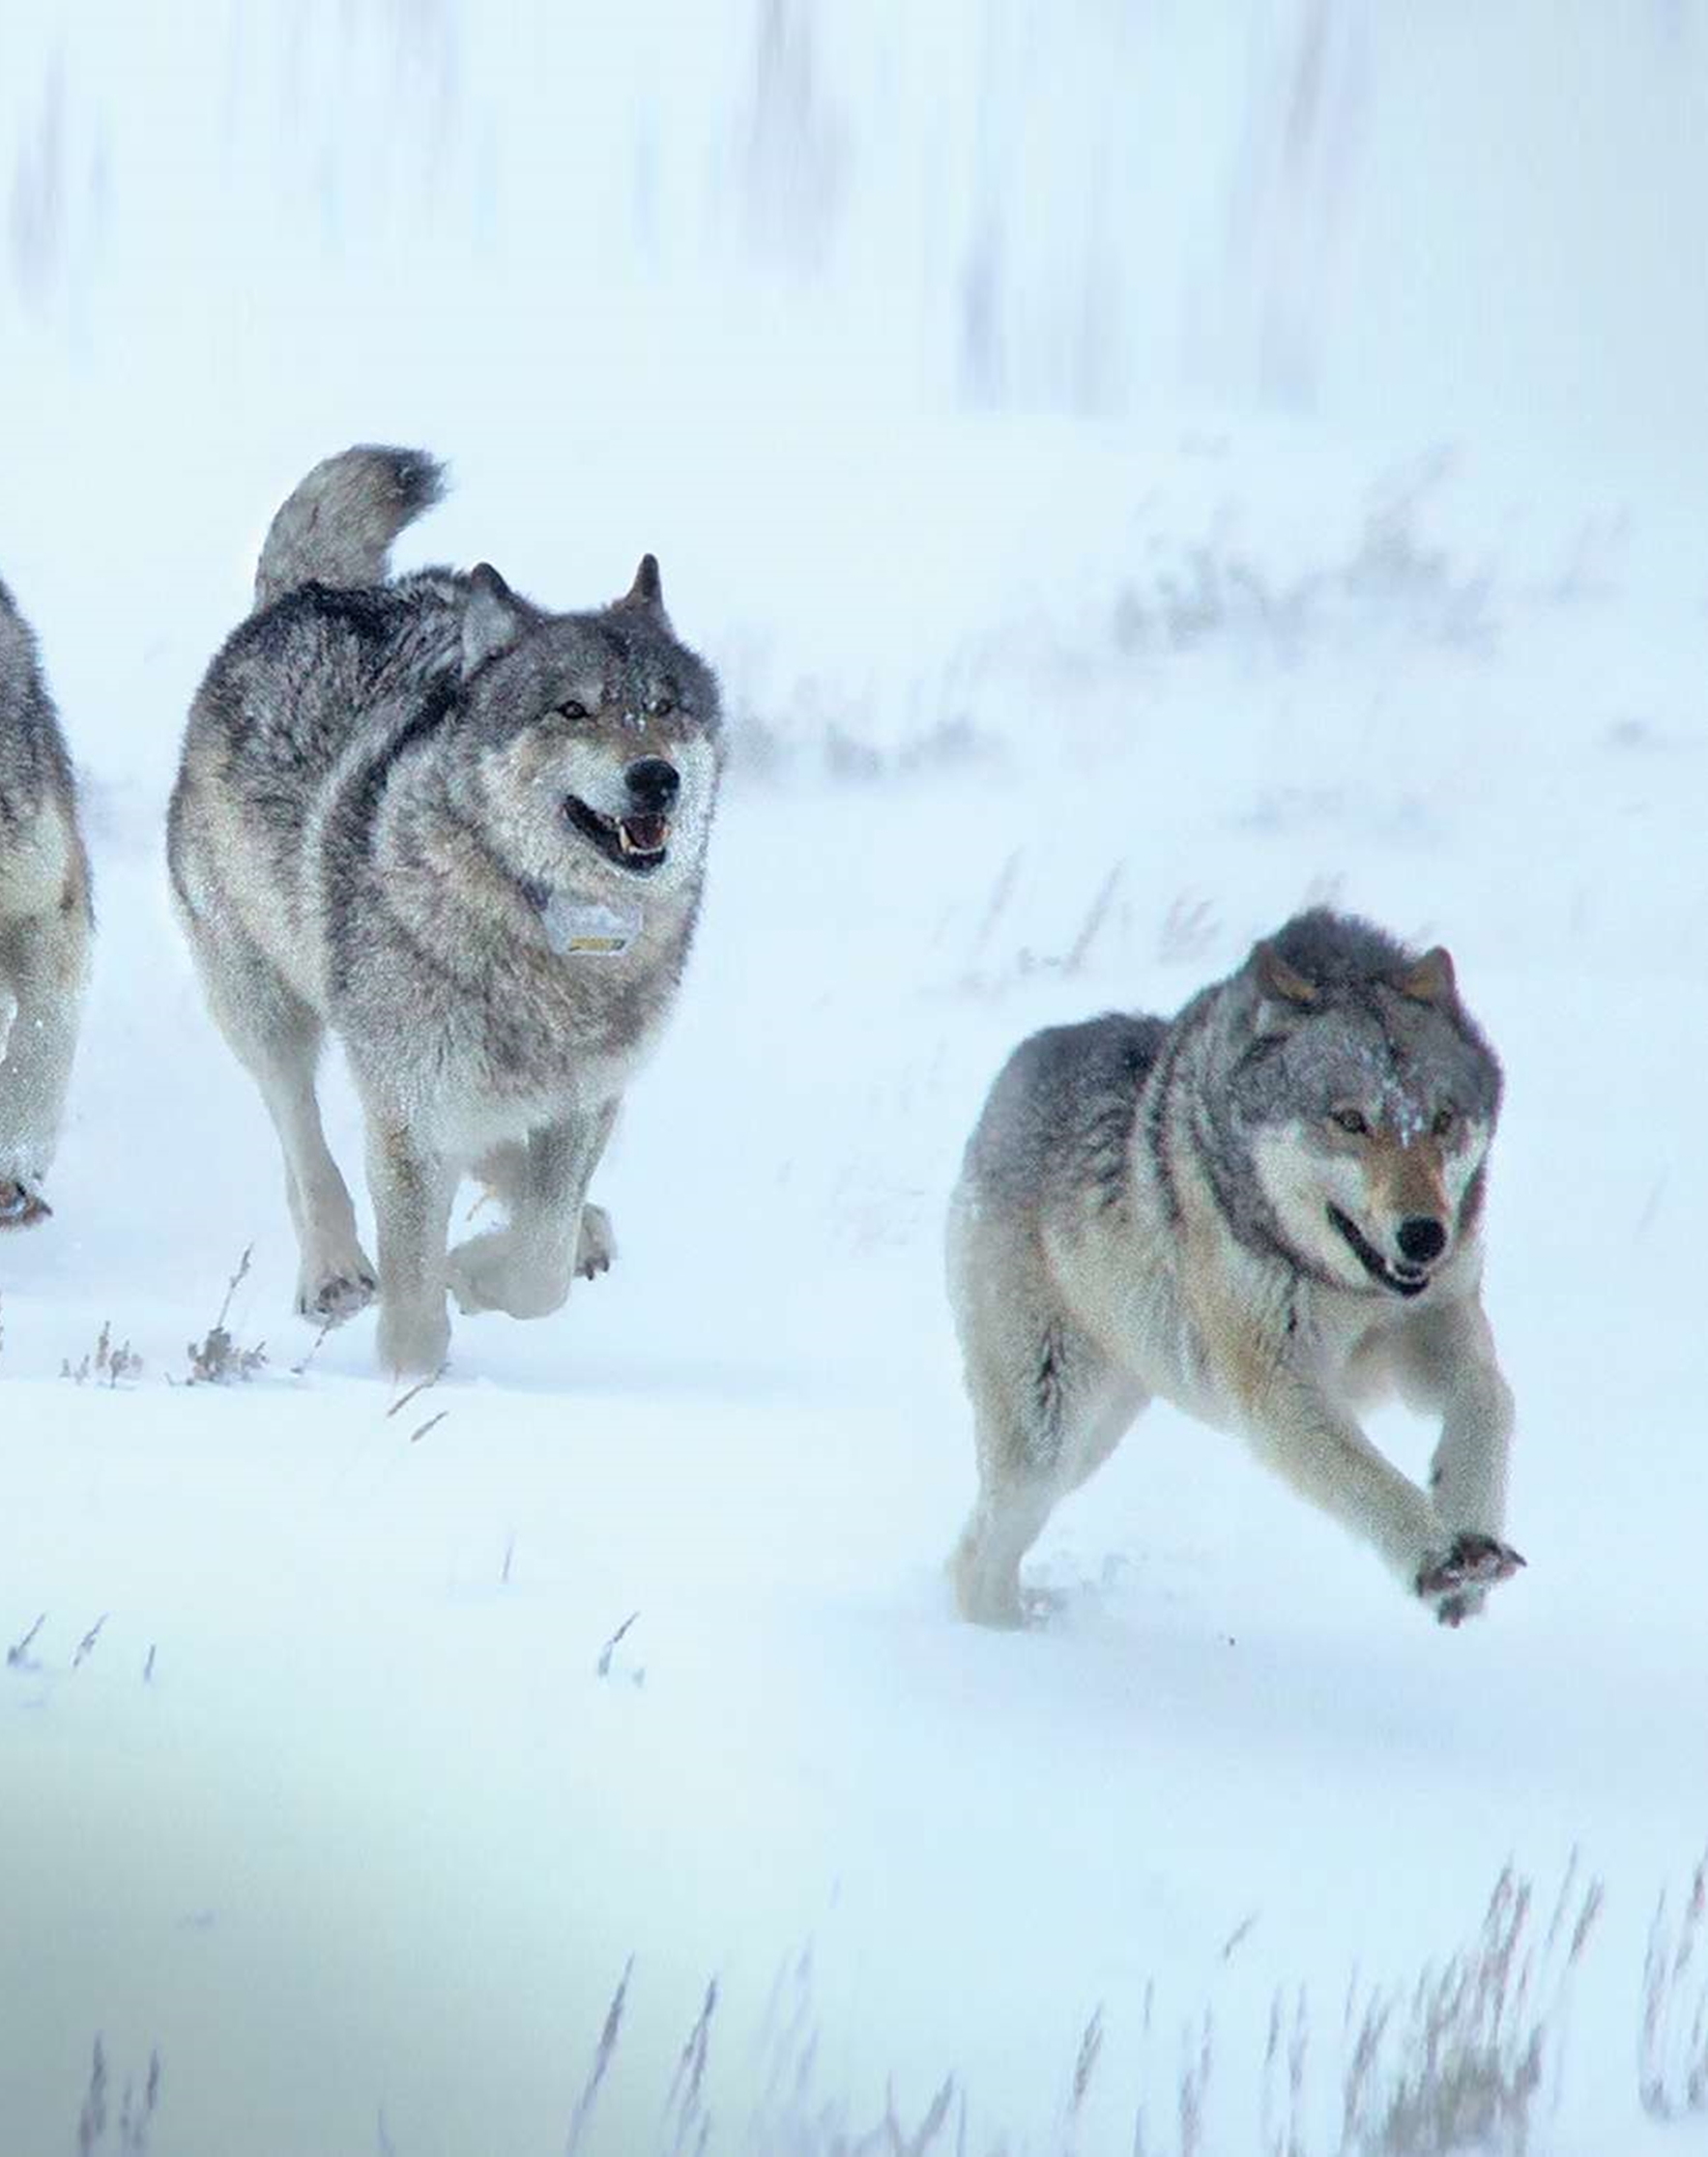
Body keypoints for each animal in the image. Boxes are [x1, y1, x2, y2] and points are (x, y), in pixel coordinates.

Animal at [171, 446, 729, 1371]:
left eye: (663, 707)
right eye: (571, 710)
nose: (657, 777)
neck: (548, 937)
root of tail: (306, 593)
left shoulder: (586, 1099)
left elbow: (538, 1264)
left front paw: (481, 1269)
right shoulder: (408, 1113)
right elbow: (416, 1316)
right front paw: (415, 1366)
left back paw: (580, 1229)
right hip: (267, 1012)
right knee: (302, 1141)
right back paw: (333, 1271)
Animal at [948, 910, 1518, 1630]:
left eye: (1442, 1120)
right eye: (1350, 1120)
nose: (1423, 1236)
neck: (1346, 1289)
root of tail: (1016, 1067)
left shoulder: (1433, 1325)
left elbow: (1490, 1400)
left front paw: (1472, 1541)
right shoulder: (1275, 1387)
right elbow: (1366, 1479)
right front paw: (1438, 1558)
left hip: (1097, 1431)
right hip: (1045, 1437)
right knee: (977, 1558)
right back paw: (1000, 1641)